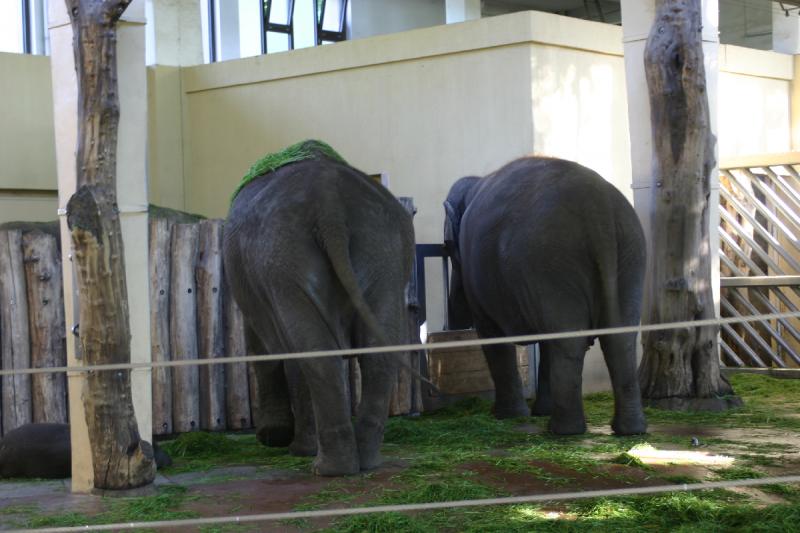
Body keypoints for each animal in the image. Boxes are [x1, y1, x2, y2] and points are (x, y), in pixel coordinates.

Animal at [223, 140, 416, 474]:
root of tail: (330, 206)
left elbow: (266, 349)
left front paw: (275, 439)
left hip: (282, 259)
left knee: (311, 351)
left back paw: (322, 465)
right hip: (383, 253)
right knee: (377, 350)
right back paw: (364, 462)